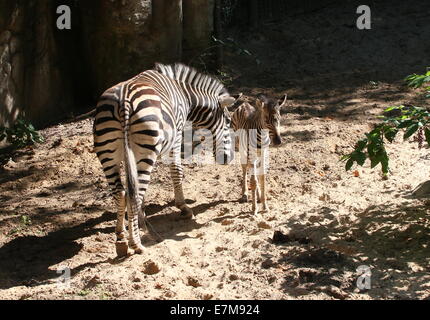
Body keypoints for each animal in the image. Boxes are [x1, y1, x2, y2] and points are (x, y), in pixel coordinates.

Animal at [92, 63, 237, 256]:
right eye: (228, 121)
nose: (229, 158)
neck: (185, 95)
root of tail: (123, 101)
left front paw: (141, 220)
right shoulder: (177, 135)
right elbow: (177, 171)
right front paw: (184, 208)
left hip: (108, 155)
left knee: (121, 193)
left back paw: (122, 240)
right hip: (145, 151)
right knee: (134, 194)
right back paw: (136, 243)